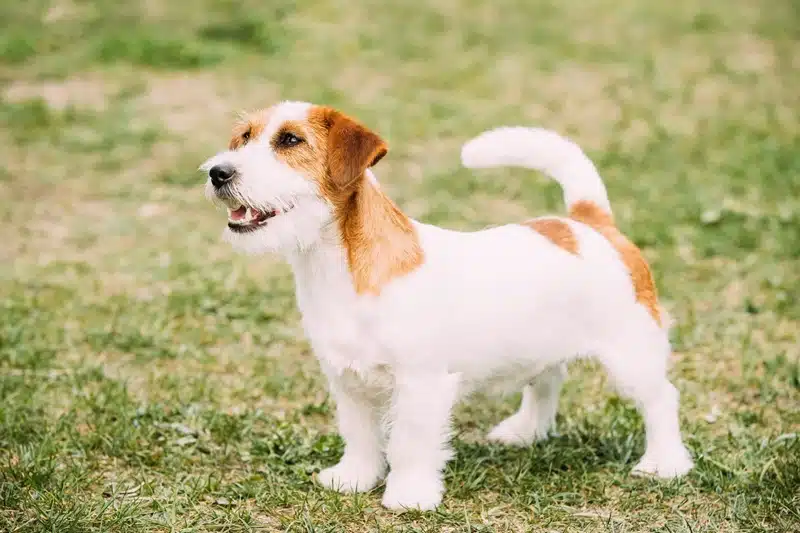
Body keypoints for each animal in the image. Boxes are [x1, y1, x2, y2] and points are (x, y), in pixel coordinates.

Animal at [200, 101, 692, 512]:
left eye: (290, 140)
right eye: (244, 137)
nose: (217, 173)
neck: (336, 267)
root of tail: (589, 221)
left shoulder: (421, 383)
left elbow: (409, 444)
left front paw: (409, 496)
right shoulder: (348, 380)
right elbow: (359, 435)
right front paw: (354, 478)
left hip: (631, 354)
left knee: (661, 399)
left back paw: (664, 463)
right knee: (548, 379)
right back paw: (525, 431)